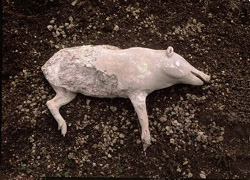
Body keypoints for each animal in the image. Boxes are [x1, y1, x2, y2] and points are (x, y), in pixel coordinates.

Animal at [42, 44, 210, 150]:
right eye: (181, 61)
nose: (208, 77)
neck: (156, 72)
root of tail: (44, 66)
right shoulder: (136, 92)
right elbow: (143, 116)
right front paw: (146, 145)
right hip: (61, 84)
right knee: (50, 103)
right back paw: (63, 131)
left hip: (67, 91)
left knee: (51, 103)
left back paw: (63, 130)